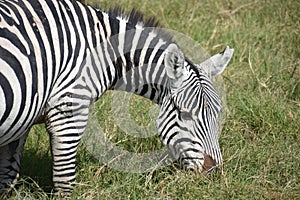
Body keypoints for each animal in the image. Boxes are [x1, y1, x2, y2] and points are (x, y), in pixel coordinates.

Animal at [0, 0, 233, 197]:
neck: (101, 49)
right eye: (184, 114)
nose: (213, 172)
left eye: (218, 113)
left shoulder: (24, 116)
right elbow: (64, 180)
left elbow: (8, 177)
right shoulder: (68, 109)